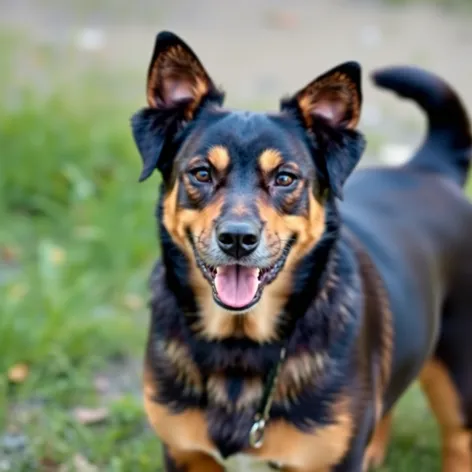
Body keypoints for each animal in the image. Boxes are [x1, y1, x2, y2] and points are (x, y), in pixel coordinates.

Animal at [130, 31, 472, 470]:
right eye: (201, 173)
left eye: (285, 178)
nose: (237, 239)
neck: (239, 345)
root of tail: (430, 168)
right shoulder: (184, 454)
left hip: (460, 378)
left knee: (459, 440)